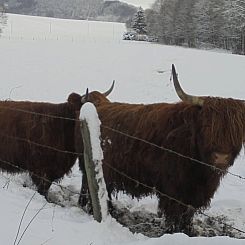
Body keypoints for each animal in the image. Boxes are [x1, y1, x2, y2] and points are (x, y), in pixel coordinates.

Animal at [78, 65, 245, 235]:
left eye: (238, 130)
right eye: (206, 126)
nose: (221, 158)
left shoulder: (194, 193)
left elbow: (188, 215)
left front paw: (188, 231)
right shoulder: (173, 191)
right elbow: (175, 217)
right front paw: (175, 232)